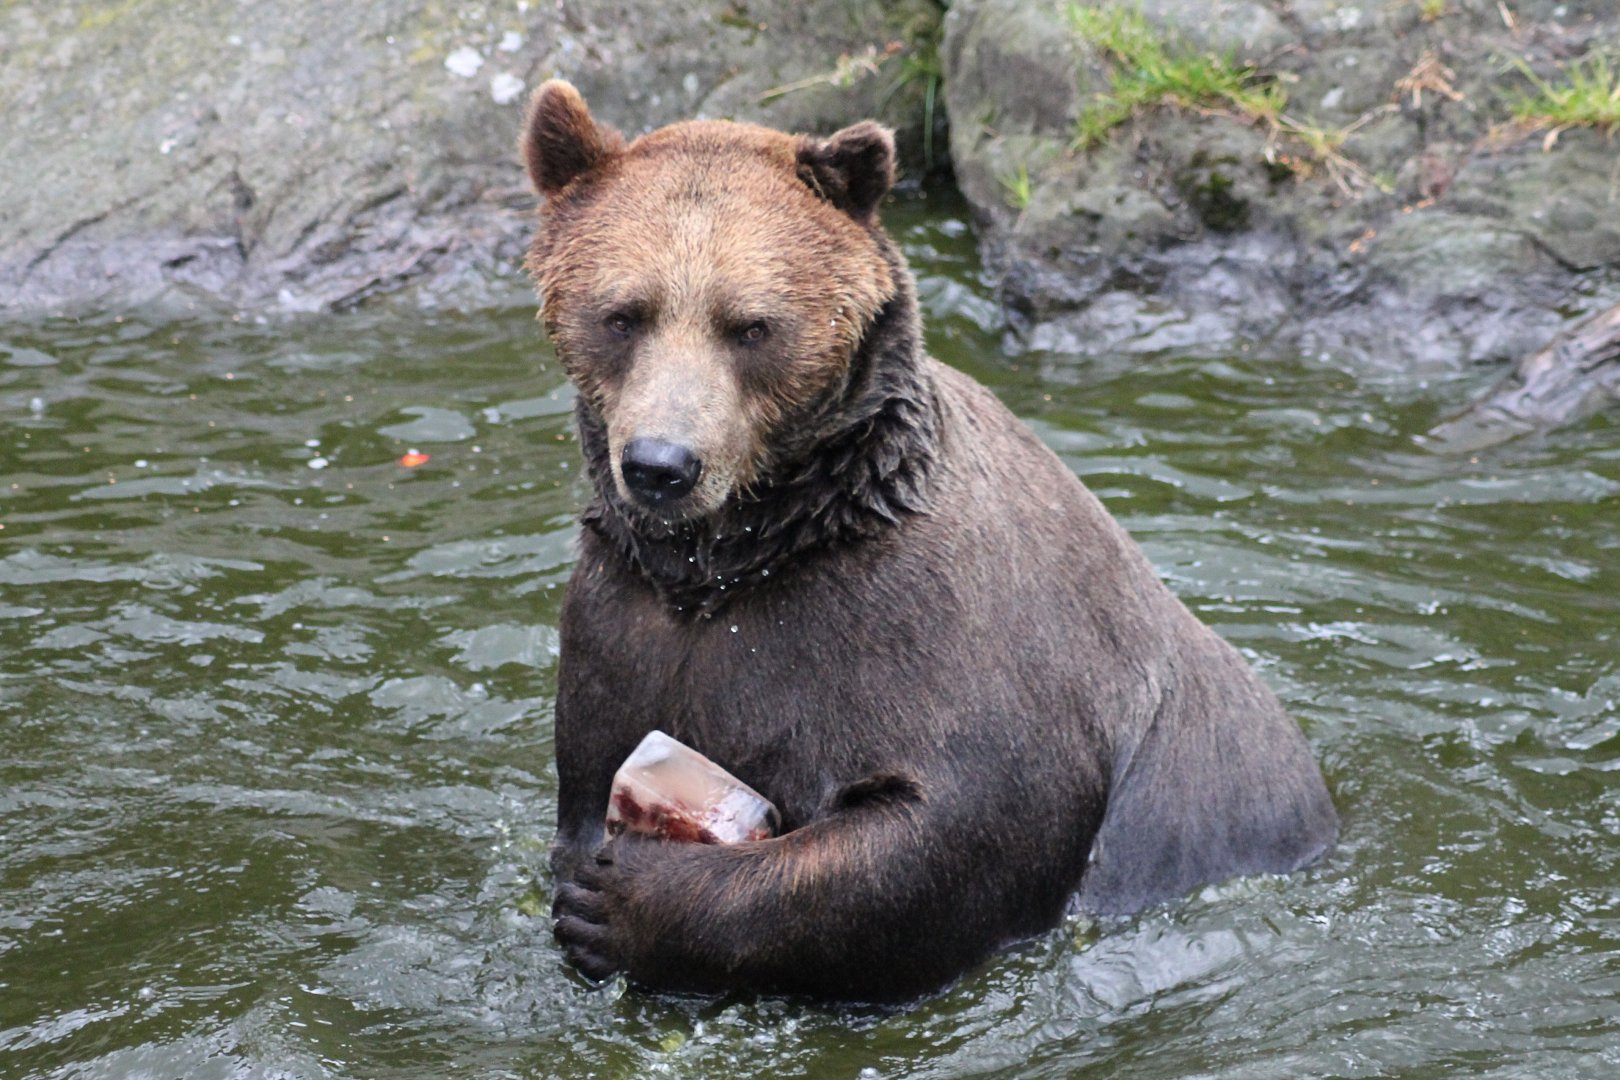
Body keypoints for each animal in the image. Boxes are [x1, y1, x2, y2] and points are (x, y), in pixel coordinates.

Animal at [521, 80, 1338, 1004]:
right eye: (623, 314)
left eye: (752, 325)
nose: (663, 465)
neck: (744, 556)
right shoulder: (622, 627)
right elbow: (591, 773)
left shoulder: (931, 623)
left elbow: (954, 828)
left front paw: (623, 900)